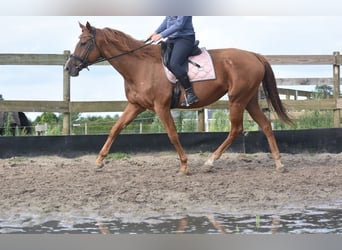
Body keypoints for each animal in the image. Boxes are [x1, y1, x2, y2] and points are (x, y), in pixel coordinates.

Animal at [65, 21, 292, 174]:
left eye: (83, 43)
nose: (68, 68)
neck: (140, 65)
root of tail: (254, 55)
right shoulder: (136, 105)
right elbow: (116, 128)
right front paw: (99, 161)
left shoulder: (161, 107)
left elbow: (172, 134)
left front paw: (184, 165)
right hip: (249, 100)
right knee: (265, 125)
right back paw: (279, 163)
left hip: (237, 100)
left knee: (236, 129)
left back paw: (210, 162)